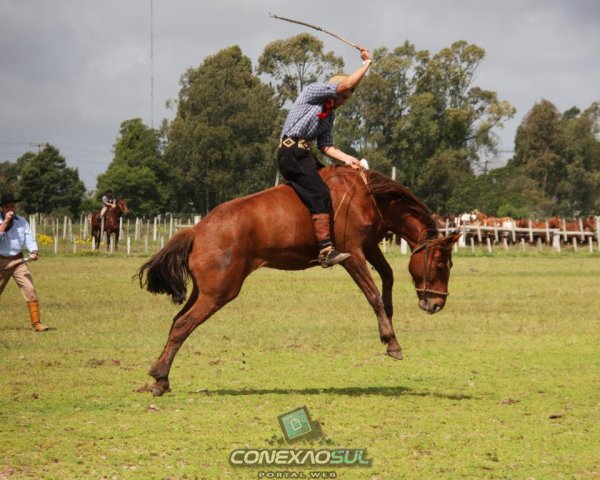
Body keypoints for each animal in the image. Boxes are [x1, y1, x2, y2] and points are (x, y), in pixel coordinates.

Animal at [137, 166, 460, 396]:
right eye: (441, 264)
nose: (437, 304)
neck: (368, 196)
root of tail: (196, 231)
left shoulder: (369, 246)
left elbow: (388, 276)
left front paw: (389, 322)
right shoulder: (352, 253)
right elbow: (372, 294)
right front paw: (391, 342)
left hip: (203, 292)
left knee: (177, 322)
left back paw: (161, 379)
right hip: (217, 294)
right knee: (183, 324)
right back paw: (159, 375)